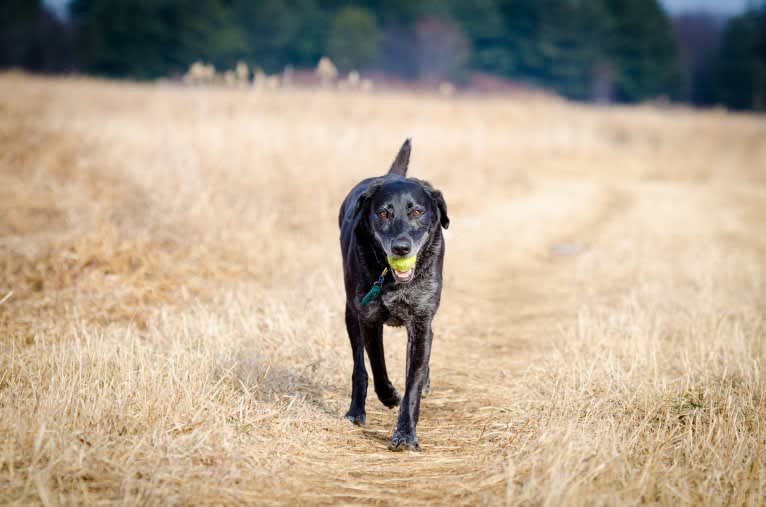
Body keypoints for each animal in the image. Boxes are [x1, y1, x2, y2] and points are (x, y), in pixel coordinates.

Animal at [338, 139, 450, 452]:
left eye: (417, 212)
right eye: (383, 213)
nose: (401, 248)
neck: (390, 278)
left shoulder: (421, 323)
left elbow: (413, 383)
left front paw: (405, 433)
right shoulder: (369, 318)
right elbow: (377, 367)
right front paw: (389, 396)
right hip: (350, 316)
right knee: (360, 368)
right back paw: (356, 411)